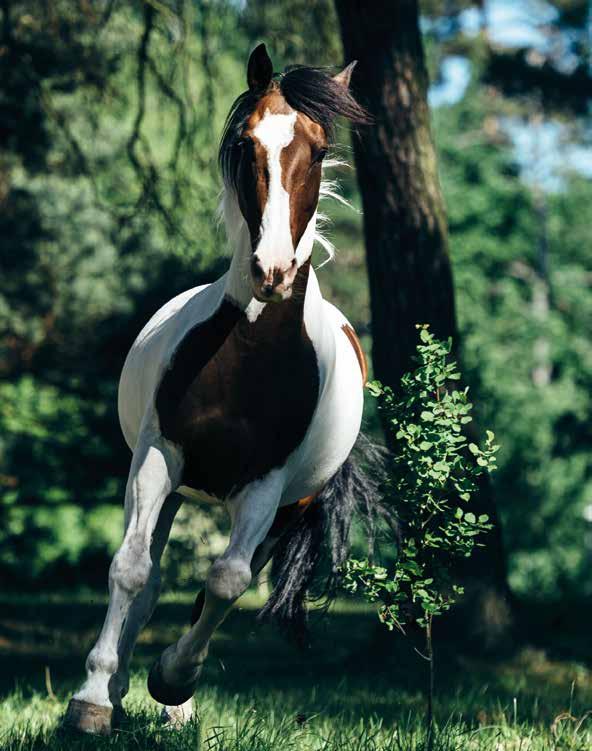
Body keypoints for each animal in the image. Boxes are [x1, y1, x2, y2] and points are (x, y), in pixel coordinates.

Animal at [63, 44, 380, 736]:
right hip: (175, 485)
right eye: (245, 143)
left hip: (287, 509)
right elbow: (132, 571)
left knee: (224, 581)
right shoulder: (160, 456)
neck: (251, 355)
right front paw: (93, 698)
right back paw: (116, 688)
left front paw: (172, 680)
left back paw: (174, 696)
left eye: (320, 149)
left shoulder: (266, 484)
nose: (273, 272)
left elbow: (227, 580)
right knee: (150, 578)